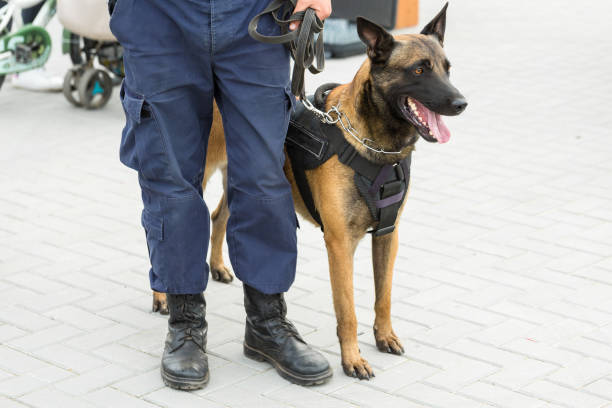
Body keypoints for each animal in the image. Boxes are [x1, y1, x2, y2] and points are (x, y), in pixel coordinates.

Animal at [154, 3, 468, 380]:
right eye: (419, 70)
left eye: (447, 69)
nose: (462, 102)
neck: (372, 144)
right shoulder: (340, 243)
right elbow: (348, 311)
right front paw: (353, 359)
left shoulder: (387, 234)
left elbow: (384, 296)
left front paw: (384, 336)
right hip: (194, 178)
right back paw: (161, 296)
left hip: (247, 179)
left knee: (219, 217)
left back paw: (216, 266)